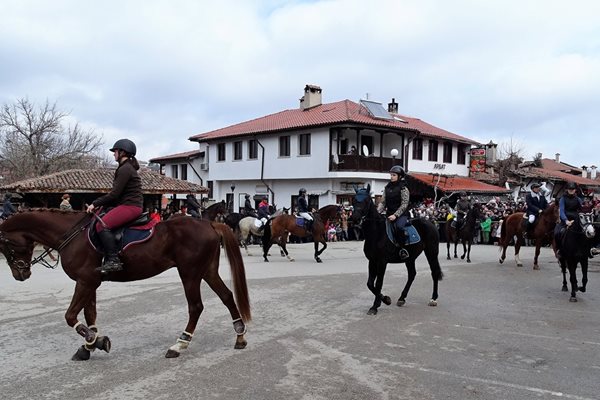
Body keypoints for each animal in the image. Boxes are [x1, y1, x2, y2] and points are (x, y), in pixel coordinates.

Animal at [0, 209, 251, 362]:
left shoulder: (85, 281)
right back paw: (239, 337)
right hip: (207, 271)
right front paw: (90, 345)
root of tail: (210, 223)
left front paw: (95, 341)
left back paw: (179, 345)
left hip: (189, 274)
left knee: (196, 307)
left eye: (6, 247)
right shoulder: (90, 283)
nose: (21, 274)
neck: (72, 234)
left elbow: (71, 316)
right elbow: (90, 315)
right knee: (227, 296)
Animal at [352, 185, 440, 316]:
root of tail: (431, 223)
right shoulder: (372, 261)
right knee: (412, 274)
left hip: (431, 253)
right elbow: (370, 284)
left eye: (367, 200)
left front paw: (377, 305)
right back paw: (402, 298)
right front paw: (384, 300)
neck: (376, 233)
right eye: (354, 200)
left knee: (434, 273)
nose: (355, 219)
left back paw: (433, 299)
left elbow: (378, 283)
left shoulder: (382, 262)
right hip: (410, 258)